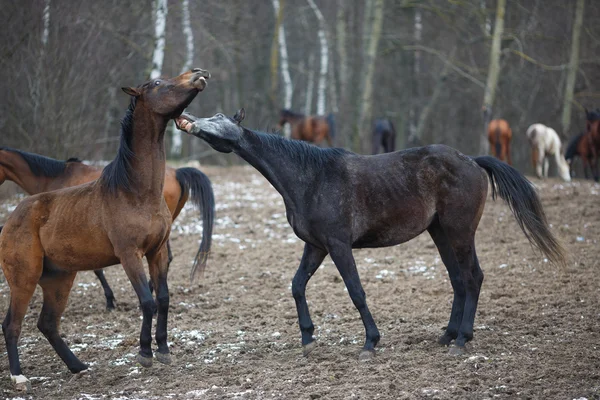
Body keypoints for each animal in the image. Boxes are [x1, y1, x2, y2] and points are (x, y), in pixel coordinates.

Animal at [176, 109, 564, 362]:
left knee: (473, 277)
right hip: (439, 232)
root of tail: (472, 161)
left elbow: (356, 291)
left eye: (218, 117)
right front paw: (308, 339)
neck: (310, 177)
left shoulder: (338, 246)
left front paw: (370, 343)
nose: (185, 118)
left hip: (459, 231)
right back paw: (447, 335)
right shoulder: (315, 246)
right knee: (458, 280)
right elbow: (297, 285)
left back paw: (462, 340)